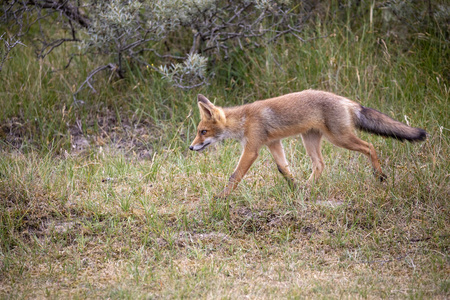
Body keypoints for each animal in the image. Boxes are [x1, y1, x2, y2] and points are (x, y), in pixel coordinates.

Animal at [188, 91, 428, 199]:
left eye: (203, 132)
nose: (191, 148)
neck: (244, 119)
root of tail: (346, 100)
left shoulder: (252, 148)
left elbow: (235, 175)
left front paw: (221, 197)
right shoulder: (273, 143)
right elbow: (283, 169)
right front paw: (295, 189)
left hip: (339, 138)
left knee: (369, 146)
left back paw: (380, 176)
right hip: (311, 139)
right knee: (319, 164)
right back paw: (308, 188)